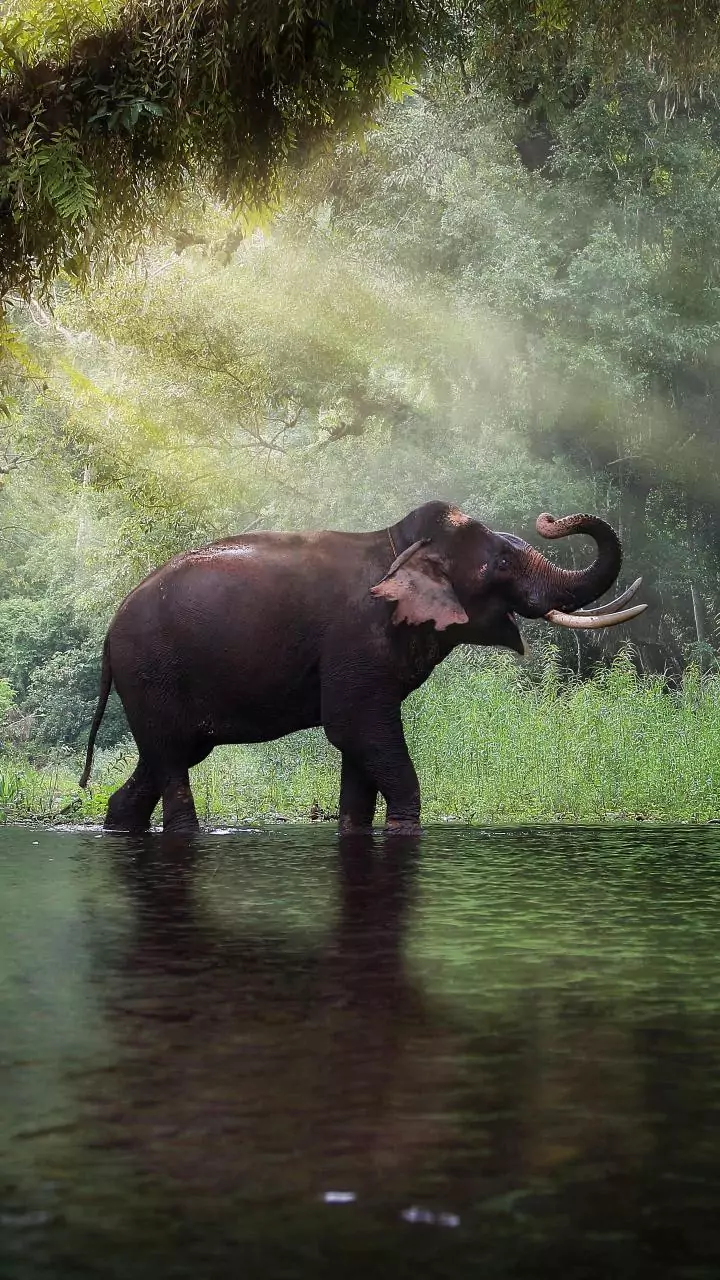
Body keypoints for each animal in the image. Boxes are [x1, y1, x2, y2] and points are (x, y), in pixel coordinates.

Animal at [80, 500, 646, 834]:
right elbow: (357, 727)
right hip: (150, 673)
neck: (399, 546)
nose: (549, 521)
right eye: (502, 564)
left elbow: (359, 749)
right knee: (172, 762)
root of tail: (109, 633)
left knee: (163, 758)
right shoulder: (357, 638)